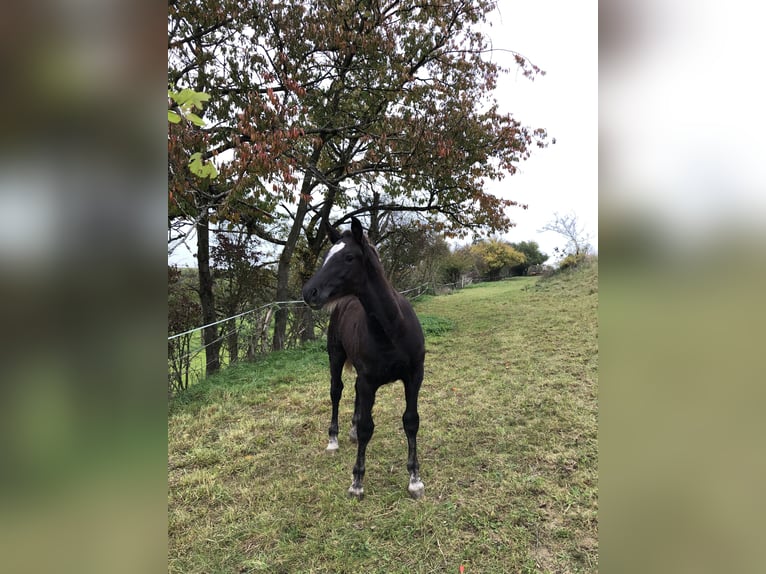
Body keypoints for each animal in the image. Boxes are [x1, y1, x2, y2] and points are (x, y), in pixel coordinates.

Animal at [302, 217, 426, 500]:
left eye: (348, 257)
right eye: (326, 256)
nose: (309, 292)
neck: (392, 329)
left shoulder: (414, 377)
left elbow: (411, 421)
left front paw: (414, 479)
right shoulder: (369, 381)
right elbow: (368, 427)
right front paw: (357, 481)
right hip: (336, 357)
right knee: (336, 391)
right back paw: (334, 439)